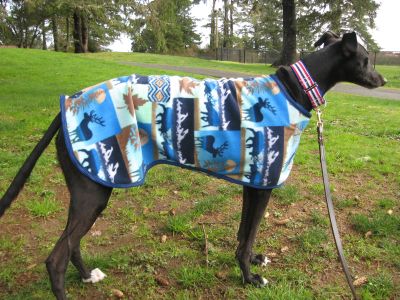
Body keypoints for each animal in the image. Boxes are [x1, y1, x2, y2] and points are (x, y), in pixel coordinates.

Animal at [0, 31, 388, 298]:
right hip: (95, 189)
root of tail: (69, 102)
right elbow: (248, 237)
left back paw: (86, 276)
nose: (383, 79)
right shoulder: (263, 183)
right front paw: (250, 278)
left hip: (90, 189)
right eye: (367, 58)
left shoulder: (252, 183)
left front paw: (251, 264)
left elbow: (243, 235)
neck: (293, 88)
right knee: (56, 257)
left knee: (71, 243)